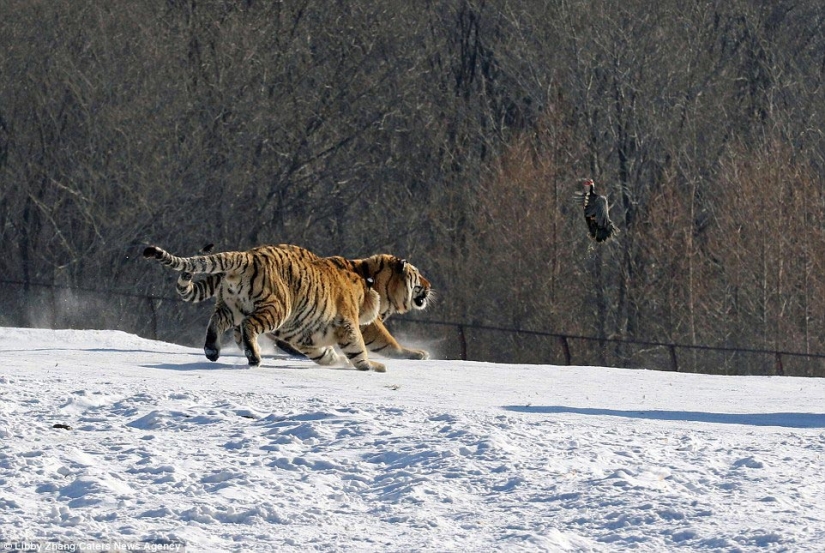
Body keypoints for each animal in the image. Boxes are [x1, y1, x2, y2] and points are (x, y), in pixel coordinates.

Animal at [143, 244, 391, 371]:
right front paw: (372, 366)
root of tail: (246, 256)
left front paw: (339, 362)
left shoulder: (307, 338)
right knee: (248, 326)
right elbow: (357, 349)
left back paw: (212, 350)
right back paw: (254, 357)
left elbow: (325, 354)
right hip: (276, 308)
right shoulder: (346, 324)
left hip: (231, 307)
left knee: (215, 321)